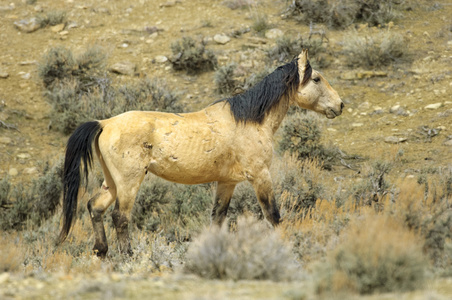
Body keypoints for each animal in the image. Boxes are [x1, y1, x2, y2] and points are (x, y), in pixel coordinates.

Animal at [58, 49, 344, 255]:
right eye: (316, 78)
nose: (340, 105)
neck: (249, 120)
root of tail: (105, 123)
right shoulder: (260, 176)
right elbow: (273, 215)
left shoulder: (227, 182)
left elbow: (217, 218)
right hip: (129, 182)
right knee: (120, 217)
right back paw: (127, 256)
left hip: (112, 181)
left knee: (95, 207)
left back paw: (101, 252)